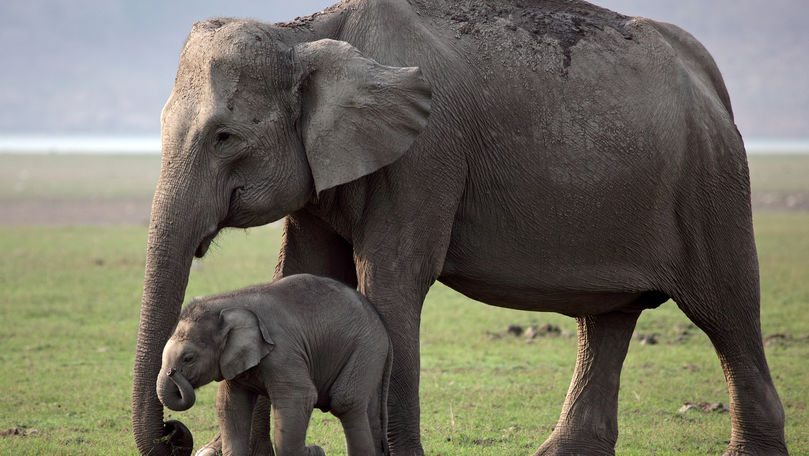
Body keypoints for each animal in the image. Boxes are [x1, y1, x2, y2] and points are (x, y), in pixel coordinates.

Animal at [157, 274, 392, 456]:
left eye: (188, 358)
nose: (171, 372)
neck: (228, 302)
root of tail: (383, 328)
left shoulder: (283, 351)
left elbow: (299, 397)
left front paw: (314, 451)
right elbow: (231, 404)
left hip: (366, 348)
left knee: (345, 401)